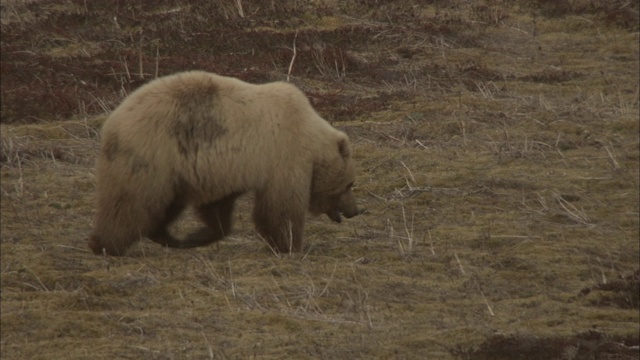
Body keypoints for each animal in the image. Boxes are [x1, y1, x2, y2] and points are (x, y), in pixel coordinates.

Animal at [89, 71, 360, 256]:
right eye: (350, 184)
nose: (355, 211)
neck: (311, 135)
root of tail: (112, 122)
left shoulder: (223, 169)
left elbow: (217, 205)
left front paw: (200, 235)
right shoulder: (284, 156)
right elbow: (281, 206)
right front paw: (290, 244)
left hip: (171, 169)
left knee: (166, 205)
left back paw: (166, 236)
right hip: (150, 155)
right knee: (130, 202)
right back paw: (106, 244)